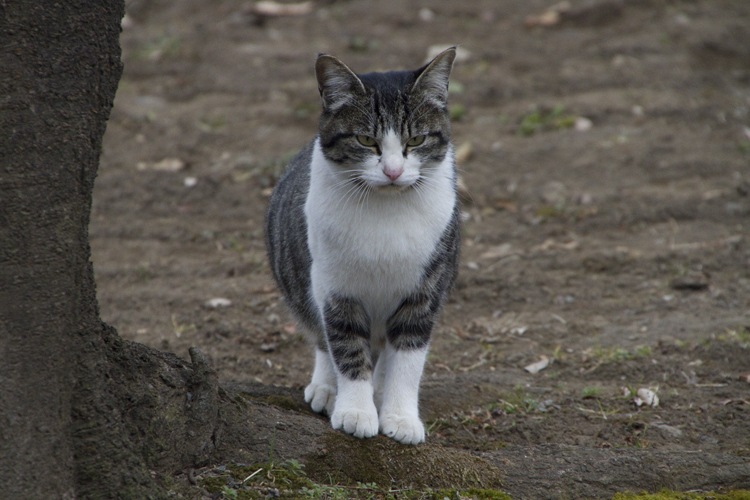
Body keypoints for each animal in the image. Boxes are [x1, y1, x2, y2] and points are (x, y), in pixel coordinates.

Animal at [268, 47, 462, 446]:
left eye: (416, 141)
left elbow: (408, 358)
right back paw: (327, 388)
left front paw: (400, 417)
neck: (385, 211)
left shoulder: (425, 288)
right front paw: (355, 411)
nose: (392, 171)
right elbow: (345, 346)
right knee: (322, 338)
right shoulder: (335, 288)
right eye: (366, 141)